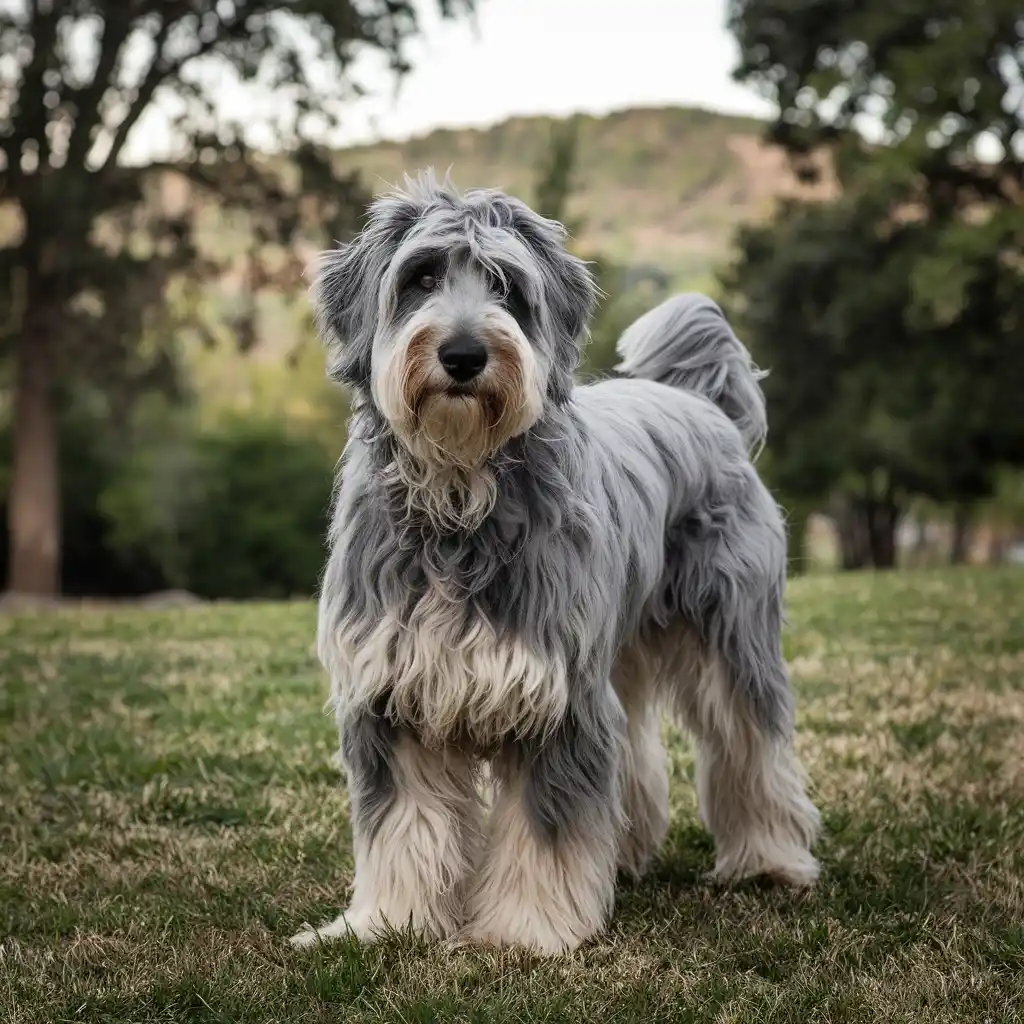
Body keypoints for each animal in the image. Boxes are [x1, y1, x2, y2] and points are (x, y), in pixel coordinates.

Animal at [292, 174, 819, 950]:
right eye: (421, 278)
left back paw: (770, 860)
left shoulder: (555, 698)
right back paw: (626, 854)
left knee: (751, 746)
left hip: (731, 637)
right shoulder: (390, 700)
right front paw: (385, 923)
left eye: (507, 286)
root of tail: (698, 403)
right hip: (618, 652)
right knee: (634, 753)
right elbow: (401, 827)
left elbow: (548, 831)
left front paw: (525, 931)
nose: (463, 355)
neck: (460, 492)